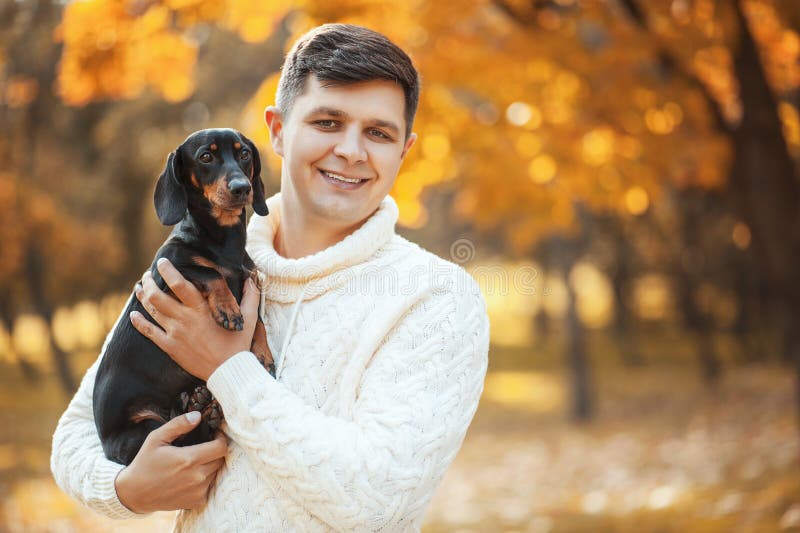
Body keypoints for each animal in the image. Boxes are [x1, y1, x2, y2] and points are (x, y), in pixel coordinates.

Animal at [93, 127, 274, 464]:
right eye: (206, 157)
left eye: (244, 153)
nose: (242, 188)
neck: (224, 243)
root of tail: (108, 448)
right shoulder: (168, 271)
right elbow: (210, 273)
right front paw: (228, 309)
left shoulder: (251, 281)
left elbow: (257, 320)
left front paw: (263, 353)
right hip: (146, 430)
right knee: (184, 438)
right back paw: (199, 408)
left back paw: (200, 403)